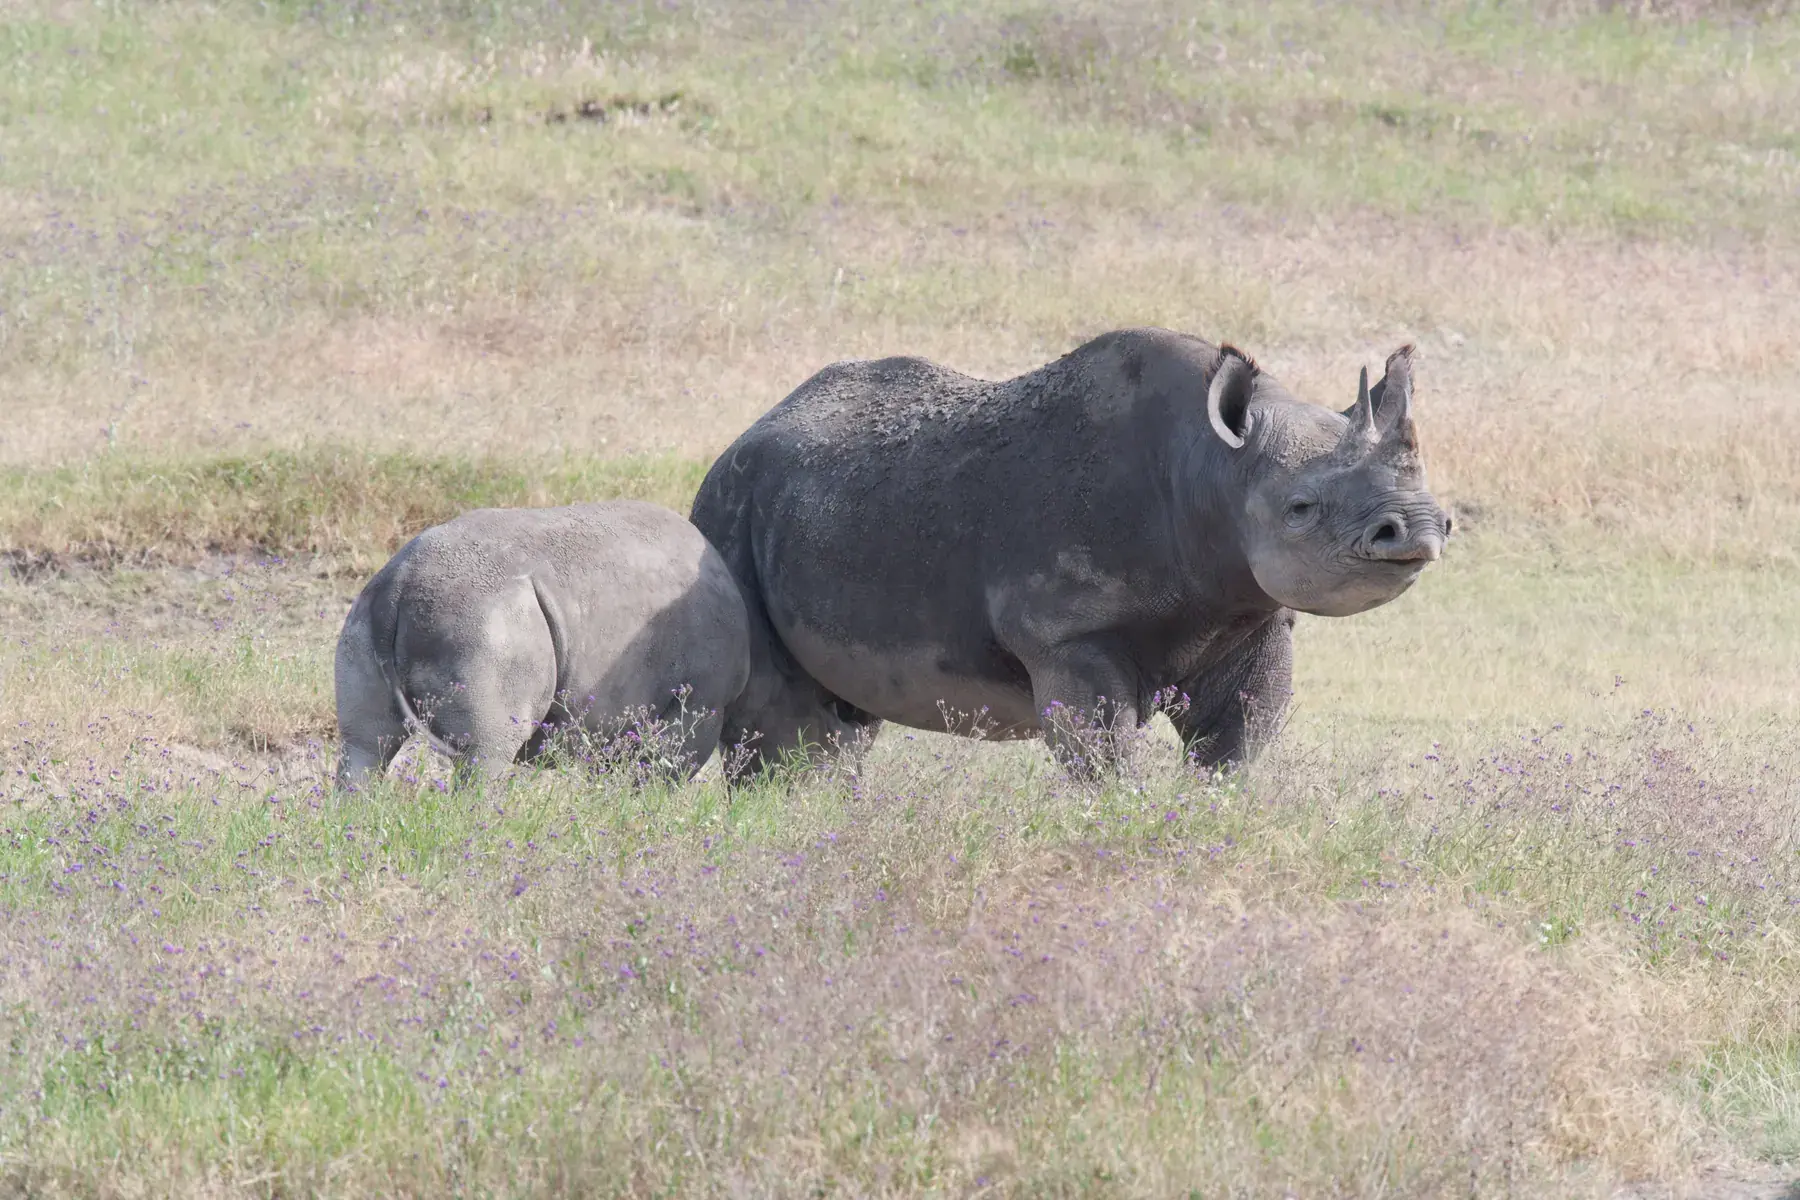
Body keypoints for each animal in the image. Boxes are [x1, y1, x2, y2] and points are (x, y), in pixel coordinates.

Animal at [334, 500, 750, 790]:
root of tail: (400, 582)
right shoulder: (701, 704)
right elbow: (666, 772)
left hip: (368, 612)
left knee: (364, 745)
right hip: (484, 623)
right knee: (486, 751)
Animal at [689, 327, 1449, 778]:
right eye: (1301, 509)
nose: (1419, 529)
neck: (1214, 472)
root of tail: (746, 433)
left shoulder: (1252, 613)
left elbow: (1234, 745)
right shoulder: (1067, 634)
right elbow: (1104, 753)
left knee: (837, 730)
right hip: (729, 510)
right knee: (777, 723)